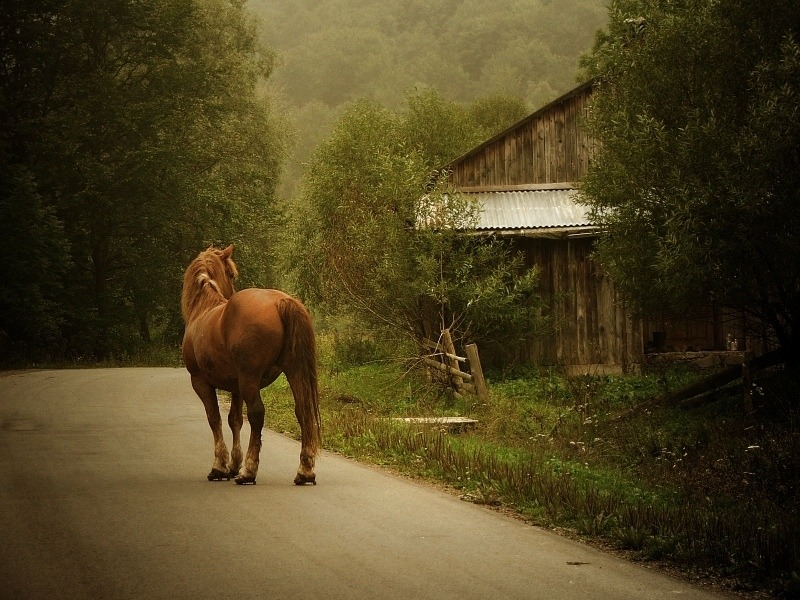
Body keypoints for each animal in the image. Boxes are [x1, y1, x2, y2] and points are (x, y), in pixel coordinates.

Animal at [180, 246, 320, 486]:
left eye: (231, 274)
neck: (205, 309)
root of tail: (280, 301)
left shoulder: (200, 381)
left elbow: (214, 419)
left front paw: (220, 466)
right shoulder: (235, 387)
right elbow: (234, 420)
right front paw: (233, 465)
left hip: (250, 379)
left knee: (256, 414)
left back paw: (249, 471)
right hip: (294, 372)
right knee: (302, 411)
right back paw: (304, 471)